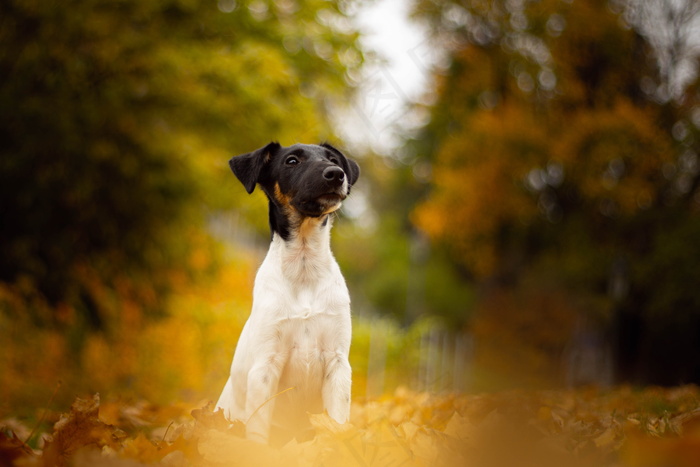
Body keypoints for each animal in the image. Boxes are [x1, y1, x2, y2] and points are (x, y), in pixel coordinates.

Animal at [216, 141, 360, 444]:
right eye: (291, 161)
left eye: (332, 159)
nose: (336, 174)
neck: (304, 270)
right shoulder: (266, 366)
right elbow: (258, 431)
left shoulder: (338, 364)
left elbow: (337, 422)